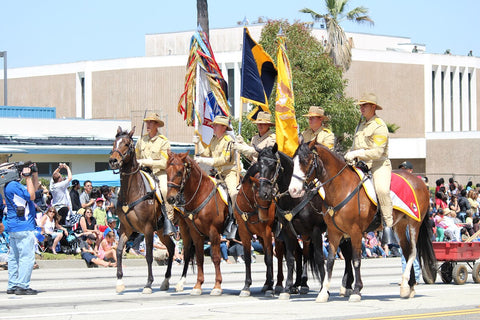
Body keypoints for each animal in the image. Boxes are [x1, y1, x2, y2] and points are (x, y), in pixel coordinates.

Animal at [108, 127, 188, 296]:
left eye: (127, 144)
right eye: (114, 142)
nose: (113, 161)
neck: (132, 192)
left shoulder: (148, 229)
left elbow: (149, 256)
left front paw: (148, 284)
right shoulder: (125, 228)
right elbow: (118, 251)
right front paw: (119, 282)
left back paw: (180, 282)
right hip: (162, 231)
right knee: (172, 248)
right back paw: (166, 281)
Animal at [165, 150, 229, 296]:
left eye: (179, 172)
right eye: (166, 171)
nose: (170, 198)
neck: (201, 195)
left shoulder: (214, 232)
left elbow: (216, 257)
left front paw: (217, 286)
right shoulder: (196, 233)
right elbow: (199, 258)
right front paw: (198, 285)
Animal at [256, 144, 354, 302]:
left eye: (273, 165)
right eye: (258, 165)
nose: (263, 193)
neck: (294, 198)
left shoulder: (315, 231)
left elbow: (319, 258)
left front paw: (323, 290)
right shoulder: (288, 231)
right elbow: (291, 258)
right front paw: (287, 288)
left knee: (348, 253)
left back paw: (347, 286)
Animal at [286, 141, 436, 302]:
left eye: (305, 161)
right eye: (293, 161)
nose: (293, 190)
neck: (341, 188)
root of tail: (419, 181)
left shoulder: (355, 232)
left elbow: (356, 260)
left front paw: (356, 290)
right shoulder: (333, 232)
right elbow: (330, 261)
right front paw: (323, 293)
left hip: (414, 224)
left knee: (413, 252)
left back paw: (405, 283)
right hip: (400, 225)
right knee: (407, 251)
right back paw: (409, 287)